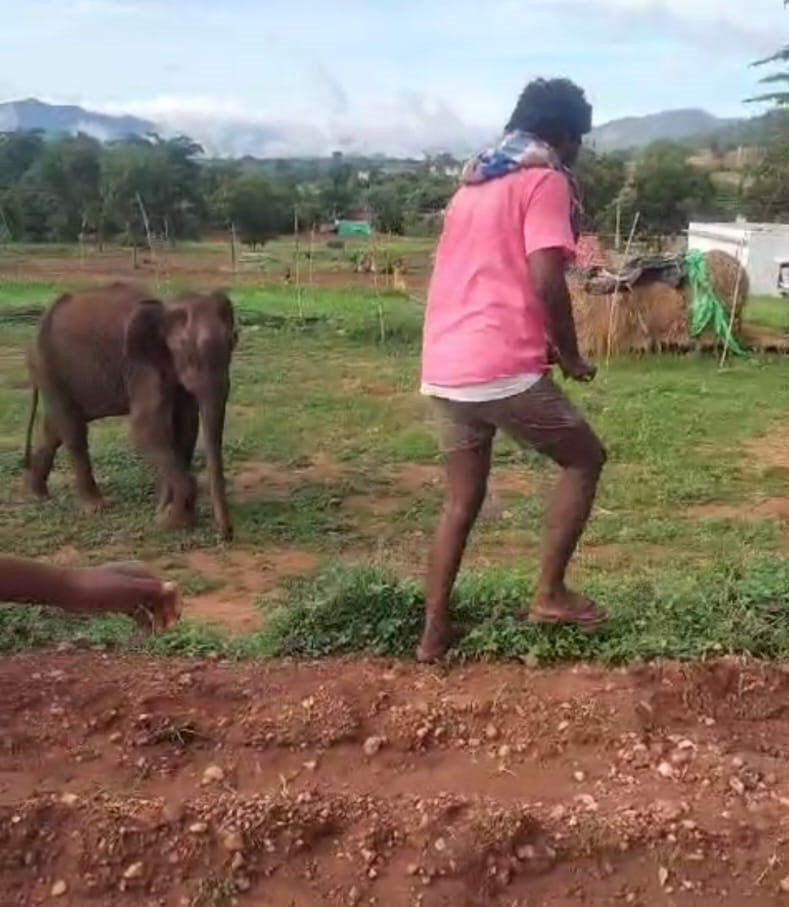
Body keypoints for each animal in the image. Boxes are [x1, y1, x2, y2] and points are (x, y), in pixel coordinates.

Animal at [25, 282, 240, 540]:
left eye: (233, 341)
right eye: (189, 354)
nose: (226, 536)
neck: (166, 307)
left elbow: (186, 428)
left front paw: (166, 513)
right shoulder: (142, 368)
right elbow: (145, 429)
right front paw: (172, 522)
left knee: (53, 430)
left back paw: (39, 495)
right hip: (47, 366)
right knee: (72, 430)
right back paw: (95, 507)